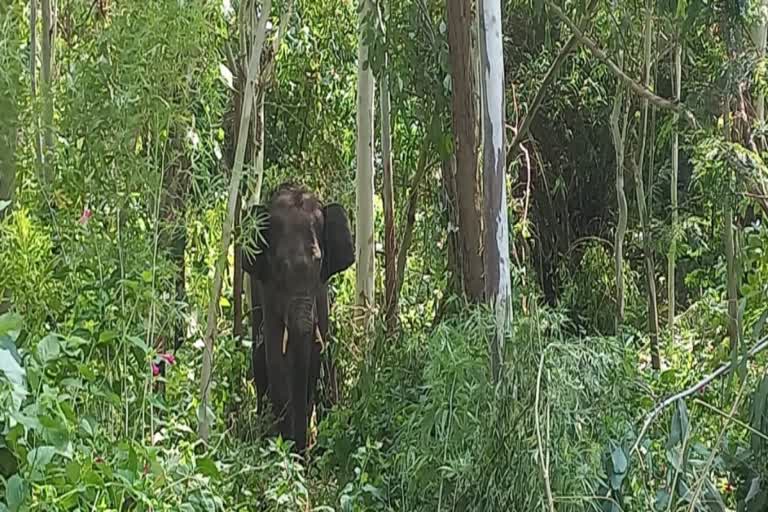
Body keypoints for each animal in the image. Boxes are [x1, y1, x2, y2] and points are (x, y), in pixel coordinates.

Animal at [243, 182, 354, 454]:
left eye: (319, 262)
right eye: (279, 266)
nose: (302, 452)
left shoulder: (320, 292)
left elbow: (315, 356)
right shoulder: (267, 290)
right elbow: (276, 359)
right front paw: (285, 450)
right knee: (259, 358)